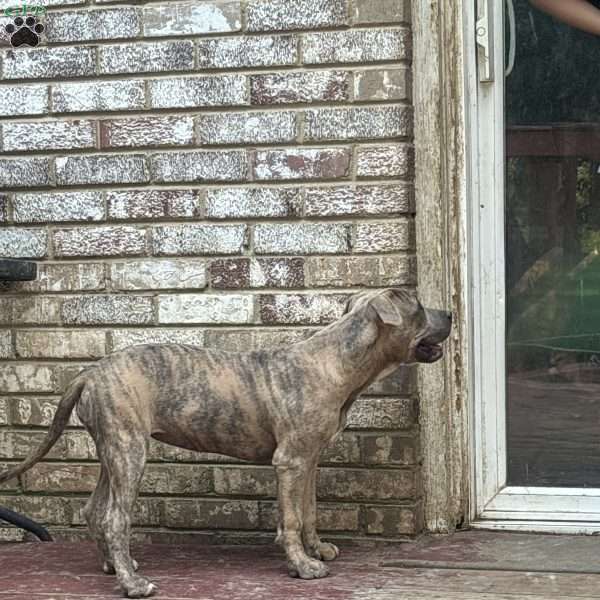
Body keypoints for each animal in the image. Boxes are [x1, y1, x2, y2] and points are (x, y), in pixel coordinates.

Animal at [0, 288, 450, 596]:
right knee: (115, 518)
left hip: (113, 451)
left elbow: (309, 512)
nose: (450, 312)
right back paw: (133, 583)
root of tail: (90, 372)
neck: (338, 360)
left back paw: (117, 565)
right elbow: (291, 519)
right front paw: (302, 566)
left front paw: (318, 550)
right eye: (419, 307)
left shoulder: (309, 459)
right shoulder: (290, 461)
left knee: (95, 510)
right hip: (129, 451)